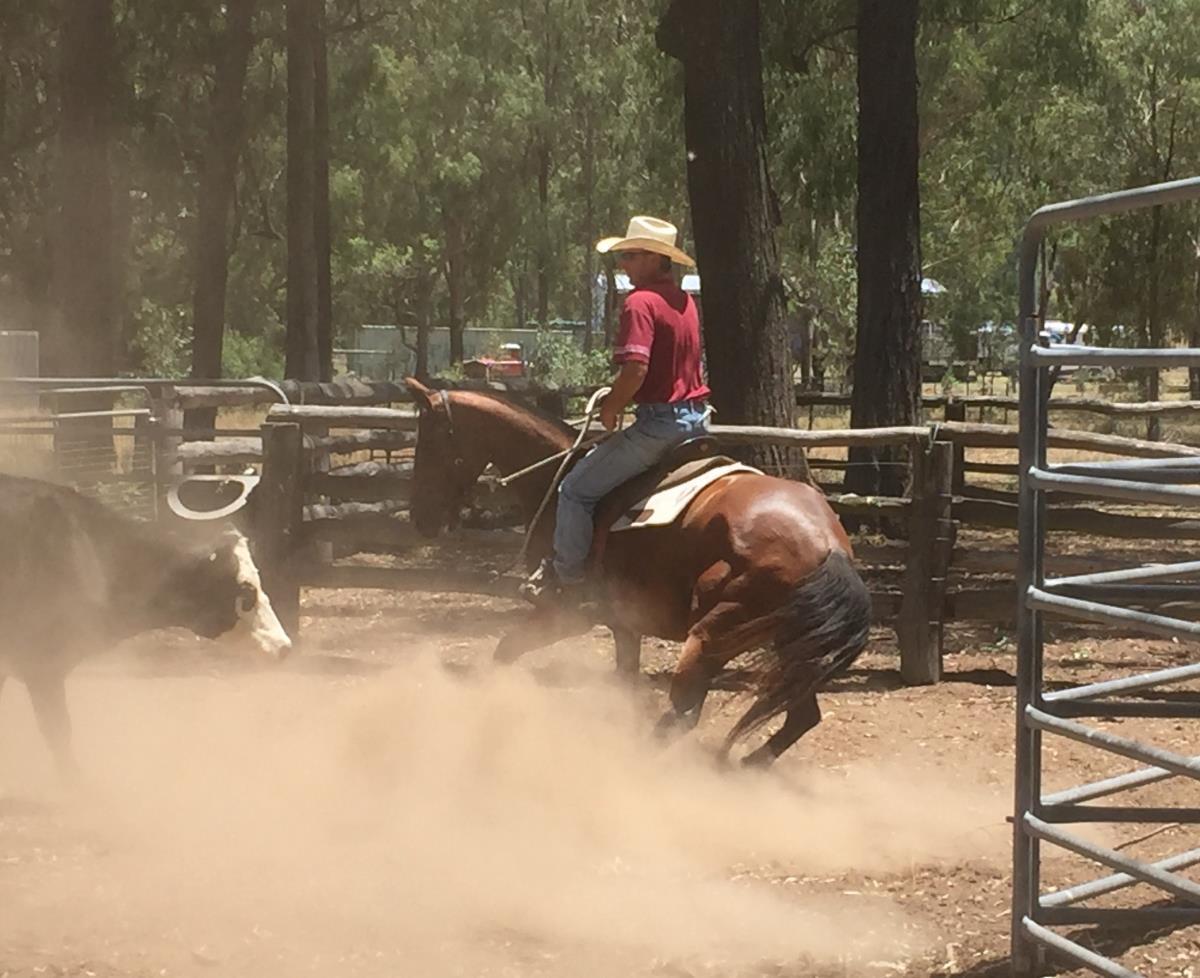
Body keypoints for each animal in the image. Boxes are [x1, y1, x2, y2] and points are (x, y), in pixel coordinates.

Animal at [404, 378, 871, 766]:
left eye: (428, 445)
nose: (420, 519)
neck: (555, 480)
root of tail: (828, 544)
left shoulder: (567, 614)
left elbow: (506, 650)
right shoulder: (624, 624)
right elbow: (623, 681)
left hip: (712, 634)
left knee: (686, 712)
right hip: (789, 645)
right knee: (800, 717)